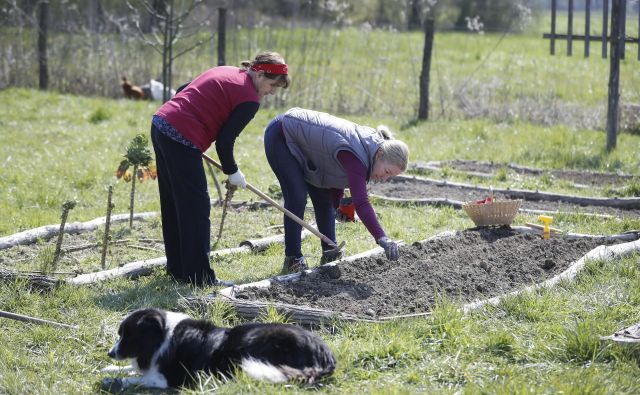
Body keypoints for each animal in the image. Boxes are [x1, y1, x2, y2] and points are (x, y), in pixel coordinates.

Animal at [101, 308, 336, 392]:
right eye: (120, 334)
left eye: (127, 336)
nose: (110, 353)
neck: (162, 335)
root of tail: (324, 354)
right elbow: (133, 370)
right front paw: (106, 369)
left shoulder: (173, 378)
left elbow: (139, 378)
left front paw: (114, 381)